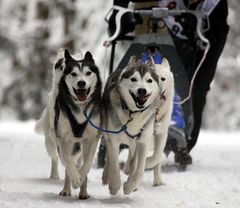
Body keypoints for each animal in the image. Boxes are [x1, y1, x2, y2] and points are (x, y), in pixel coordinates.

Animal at [34, 49, 101, 200]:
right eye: (72, 73)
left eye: (88, 73)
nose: (81, 83)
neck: (80, 109)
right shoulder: (63, 138)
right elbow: (67, 160)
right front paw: (75, 178)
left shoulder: (92, 138)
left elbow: (87, 163)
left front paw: (81, 179)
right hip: (50, 142)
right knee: (57, 159)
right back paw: (61, 182)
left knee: (79, 162)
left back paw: (83, 191)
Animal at [101, 55, 161, 195]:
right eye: (133, 79)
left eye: (149, 80)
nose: (142, 90)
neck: (133, 113)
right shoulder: (113, 140)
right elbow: (114, 164)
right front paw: (114, 185)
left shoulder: (143, 141)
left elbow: (140, 170)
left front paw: (130, 186)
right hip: (107, 133)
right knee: (109, 158)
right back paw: (106, 177)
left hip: (136, 142)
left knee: (133, 159)